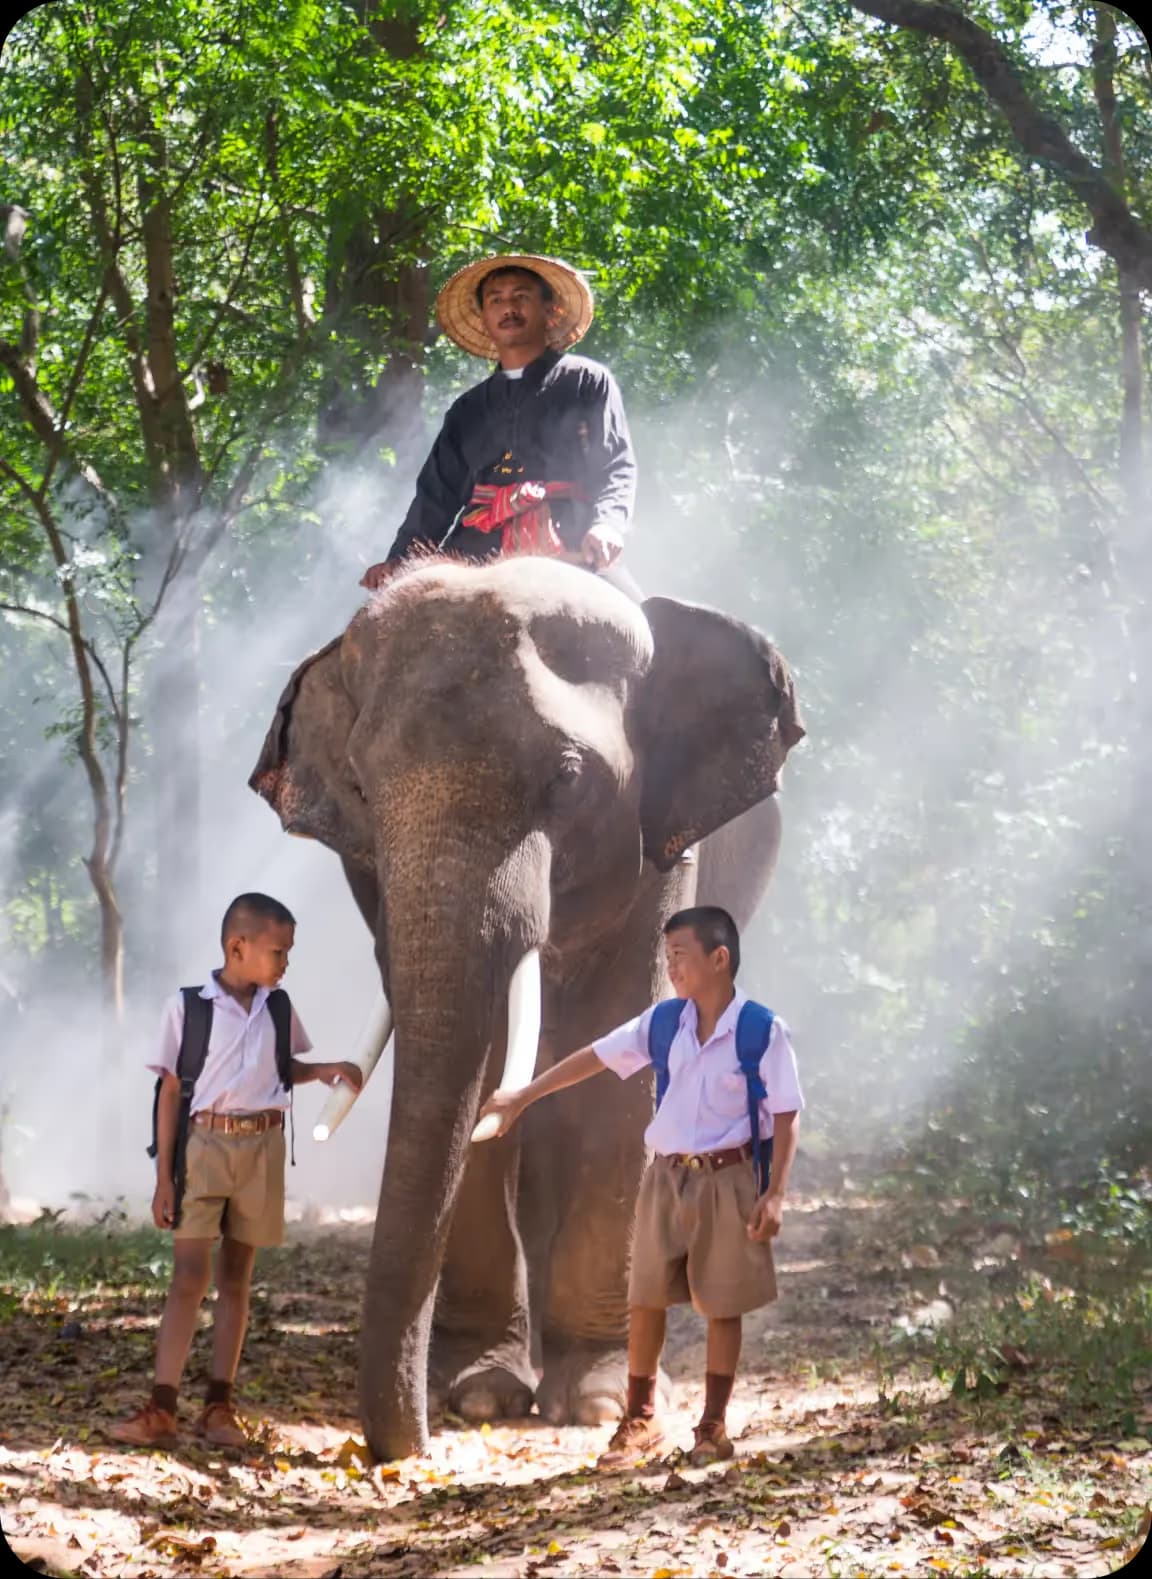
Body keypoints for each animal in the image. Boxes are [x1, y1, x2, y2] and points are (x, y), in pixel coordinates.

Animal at [250, 555, 804, 1462]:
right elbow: (475, 1073)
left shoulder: (664, 855)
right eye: (362, 786)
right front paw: (477, 1393)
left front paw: (593, 1399)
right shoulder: (369, 872)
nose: (407, 1446)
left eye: (570, 779)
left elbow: (624, 1064)